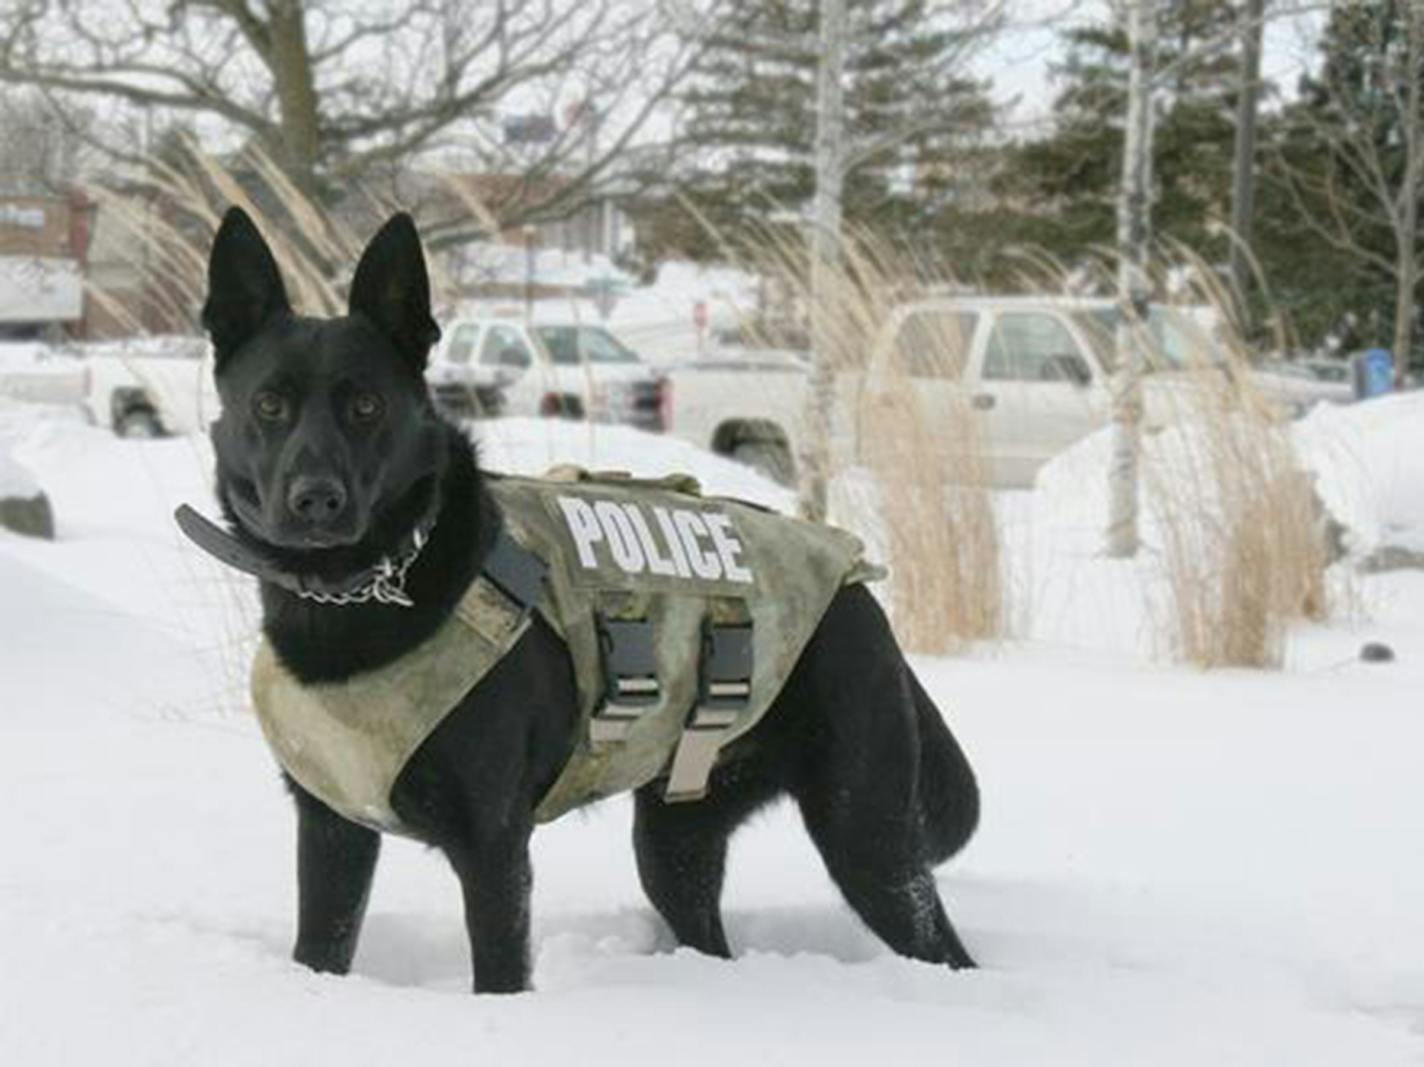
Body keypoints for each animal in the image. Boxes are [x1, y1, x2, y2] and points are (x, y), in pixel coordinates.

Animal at [197, 207, 979, 991]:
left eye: (365, 405)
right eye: (268, 404)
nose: (314, 500)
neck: (361, 595)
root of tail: (857, 583)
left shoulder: (493, 846)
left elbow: (500, 970)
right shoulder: (332, 827)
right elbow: (320, 949)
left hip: (866, 832)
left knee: (944, 946)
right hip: (676, 841)